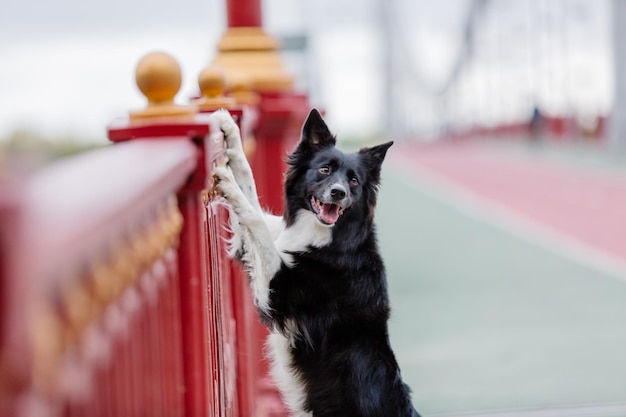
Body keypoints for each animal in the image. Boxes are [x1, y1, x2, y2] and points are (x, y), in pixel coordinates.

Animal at [211, 108, 420, 416]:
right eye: (324, 170)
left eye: (354, 181)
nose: (338, 193)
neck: (328, 237)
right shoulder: (265, 244)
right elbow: (250, 187)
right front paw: (230, 132)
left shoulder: (277, 292)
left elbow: (256, 219)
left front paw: (228, 184)